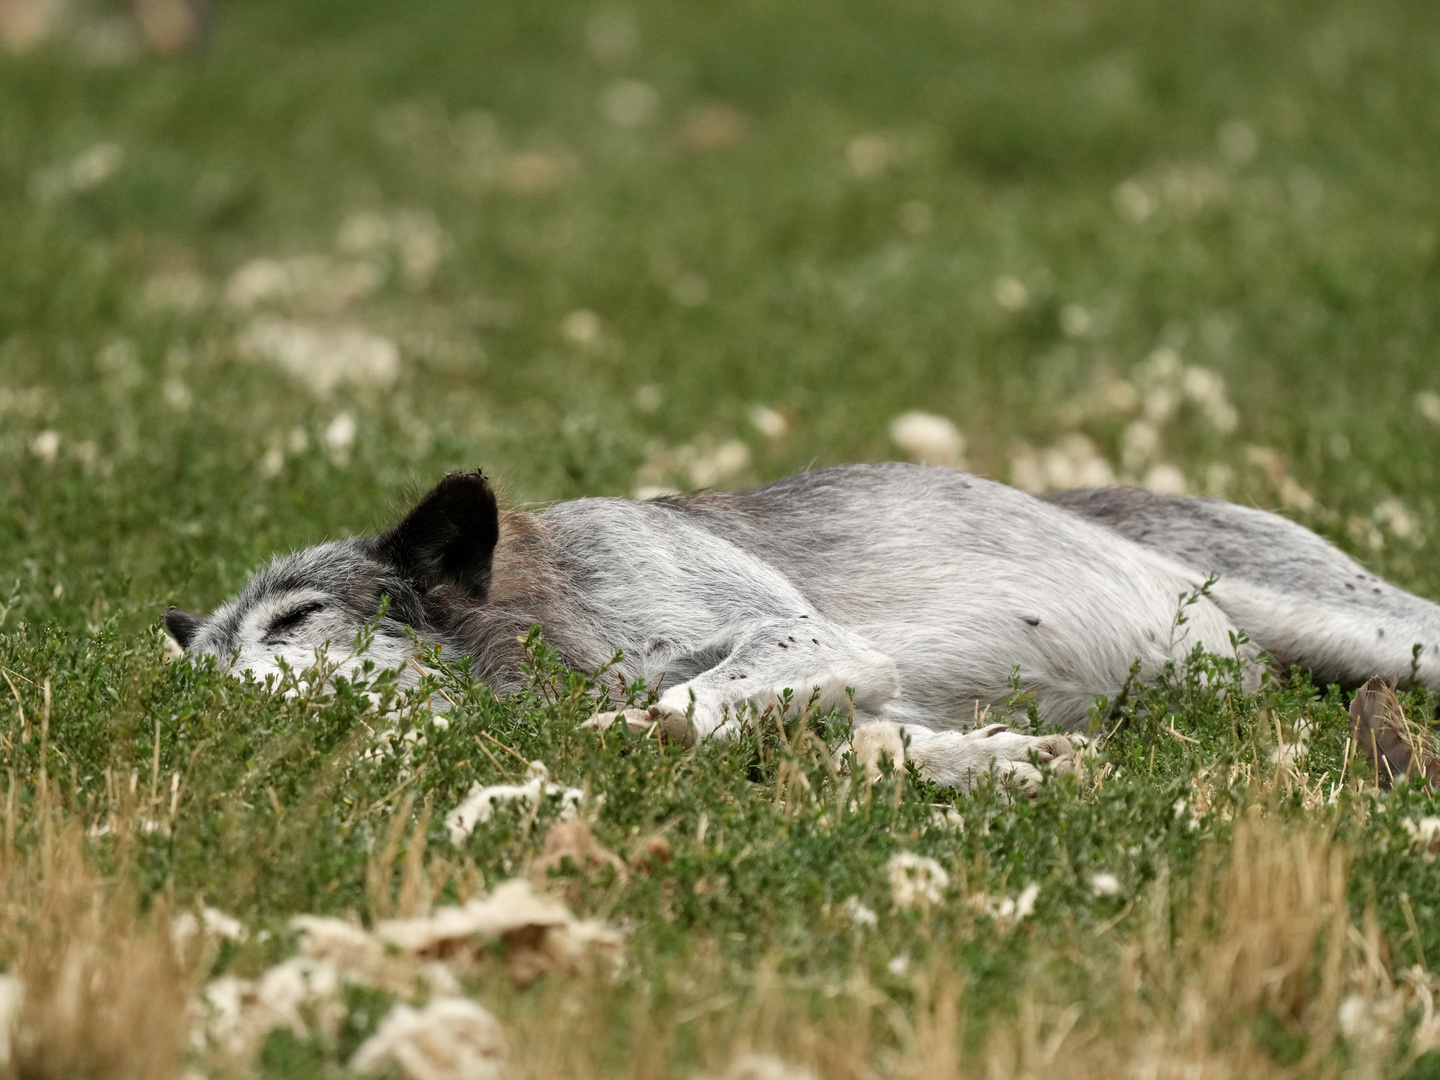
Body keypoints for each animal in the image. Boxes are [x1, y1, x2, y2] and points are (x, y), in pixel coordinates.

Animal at [160, 466, 1440, 794]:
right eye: (200, 659)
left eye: (296, 620)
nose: (187, 705)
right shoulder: (852, 704)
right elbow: (890, 750)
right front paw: (1028, 761)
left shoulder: (815, 646)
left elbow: (675, 706)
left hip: (1383, 634)